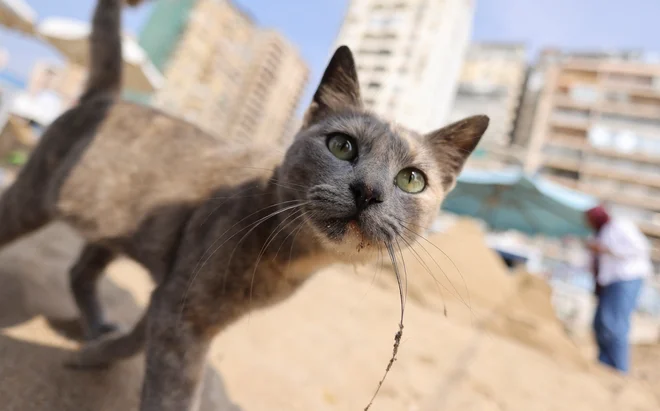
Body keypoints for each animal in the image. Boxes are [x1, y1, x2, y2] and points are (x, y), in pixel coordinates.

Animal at [0, 0, 488, 411]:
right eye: (341, 145)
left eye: (411, 180)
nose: (368, 190)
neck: (289, 263)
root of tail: (106, 98)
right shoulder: (184, 312)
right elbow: (172, 390)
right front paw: (103, 357)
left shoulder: (178, 301)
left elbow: (141, 340)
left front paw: (96, 354)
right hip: (31, 199)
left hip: (114, 223)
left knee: (79, 270)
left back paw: (97, 326)